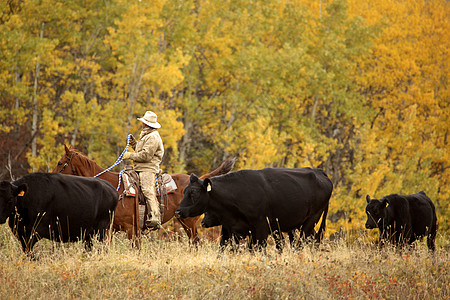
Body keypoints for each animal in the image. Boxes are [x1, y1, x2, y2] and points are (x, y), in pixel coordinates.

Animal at [52, 145, 236, 246]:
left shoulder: (130, 228)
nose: (52, 177)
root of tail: (200, 181)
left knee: (196, 243)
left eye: (60, 163)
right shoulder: (110, 228)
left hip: (189, 222)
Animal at [178, 168, 332, 252]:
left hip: (311, 219)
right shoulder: (231, 229)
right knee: (312, 240)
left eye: (194, 193)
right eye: (184, 191)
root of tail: (318, 171)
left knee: (302, 243)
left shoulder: (261, 227)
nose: (178, 211)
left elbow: (260, 249)